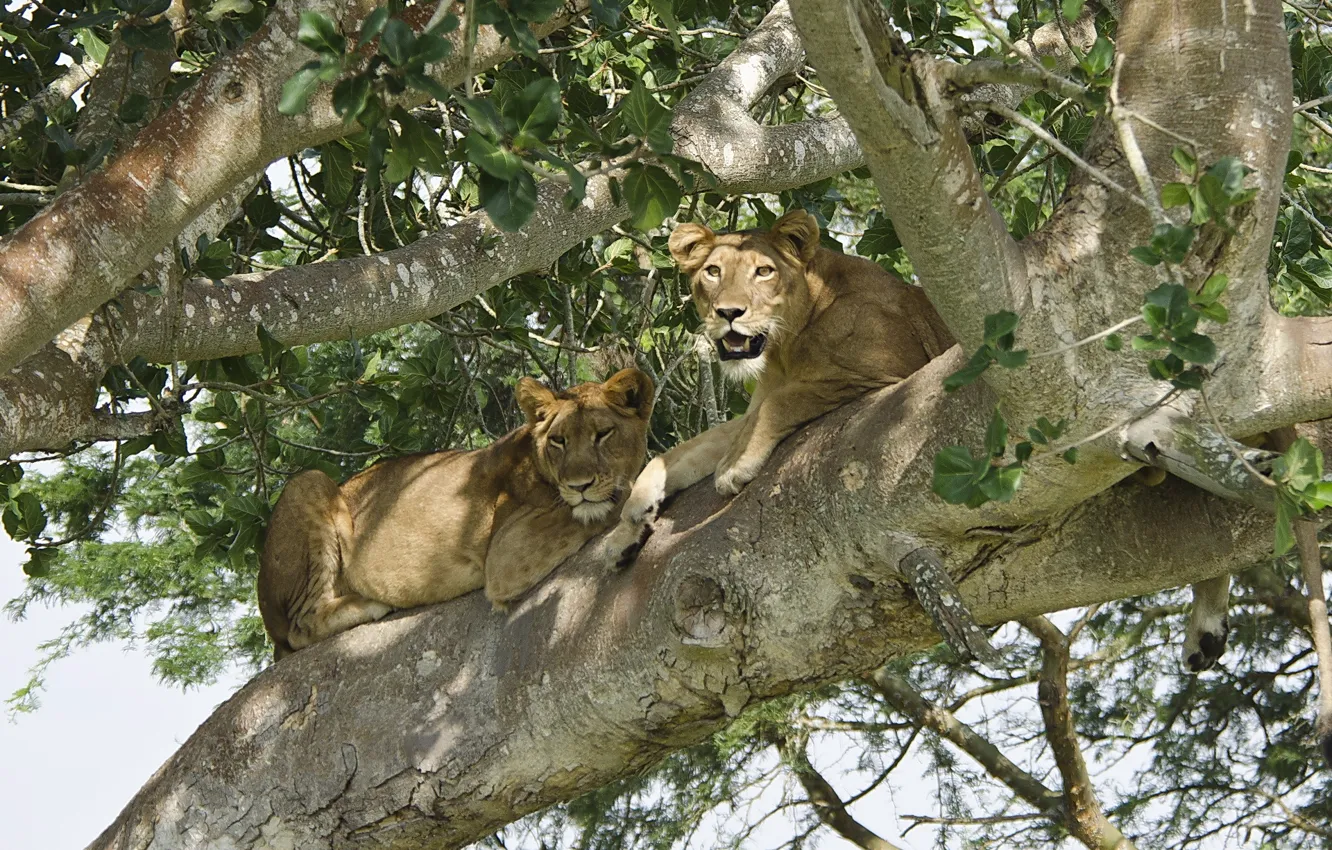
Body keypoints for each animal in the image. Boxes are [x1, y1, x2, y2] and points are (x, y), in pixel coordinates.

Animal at [257, 370, 652, 660]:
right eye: (559, 440)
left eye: (603, 434)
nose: (579, 485)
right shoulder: (506, 555)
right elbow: (614, 501)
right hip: (309, 482)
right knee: (300, 627)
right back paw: (370, 603)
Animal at [604, 207, 959, 564]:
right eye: (713, 272)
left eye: (763, 271)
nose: (729, 312)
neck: (783, 349)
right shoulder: (753, 407)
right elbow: (680, 452)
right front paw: (628, 522)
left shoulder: (886, 371)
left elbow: (781, 403)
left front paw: (733, 466)